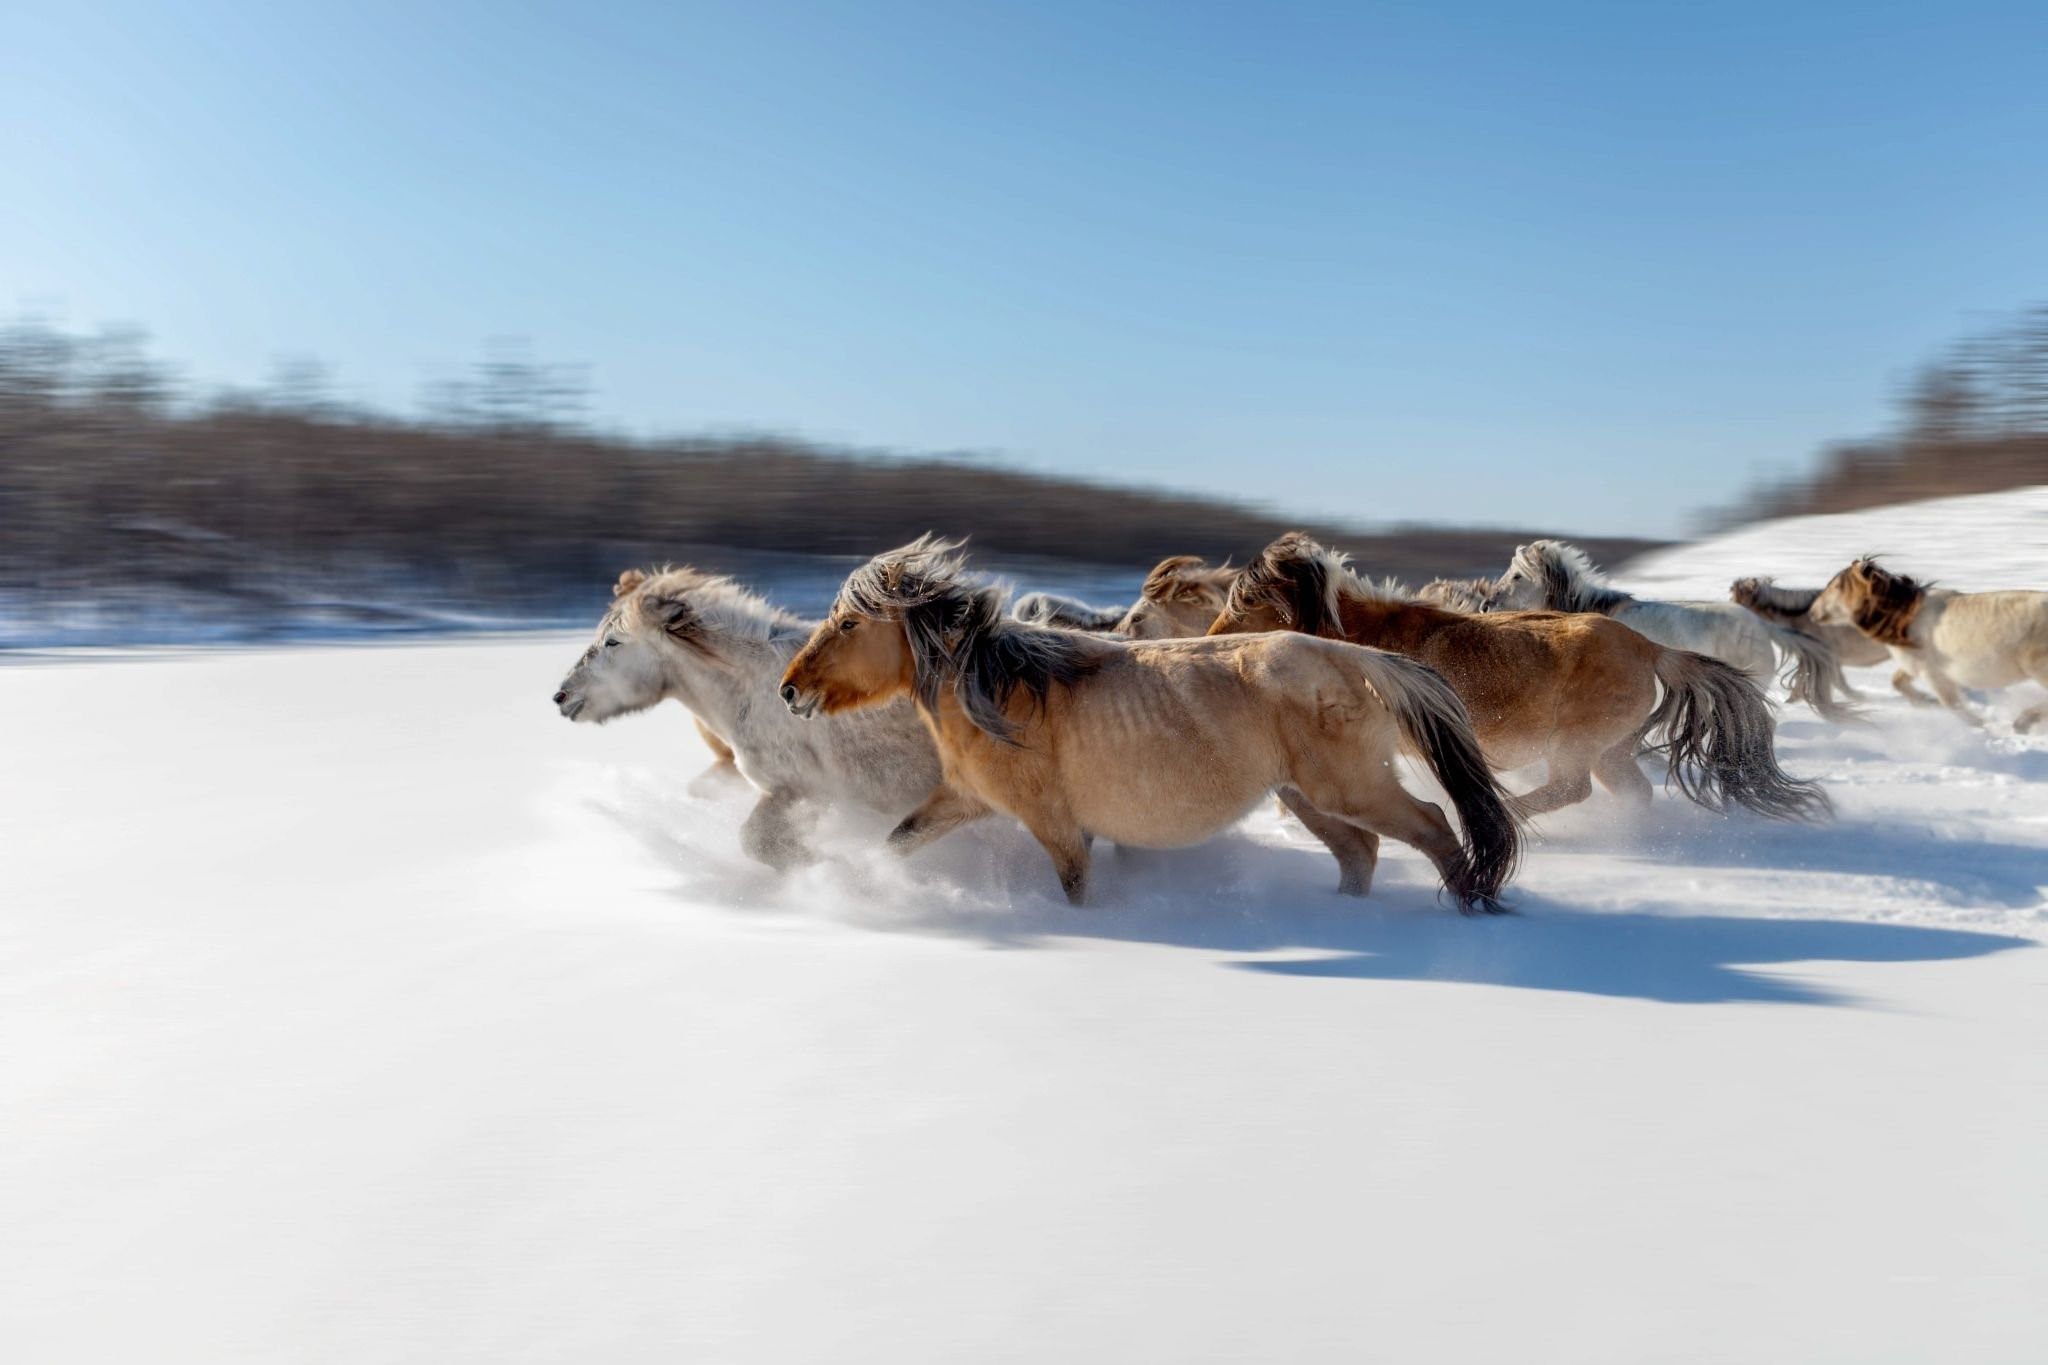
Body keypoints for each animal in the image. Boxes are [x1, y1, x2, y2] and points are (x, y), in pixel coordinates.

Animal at [557, 564, 946, 863]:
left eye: (614, 641)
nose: (562, 697)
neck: (752, 688)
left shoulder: (804, 790)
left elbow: (755, 841)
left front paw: (822, 864)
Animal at [778, 540, 1523, 912]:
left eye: (849, 623)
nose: (790, 690)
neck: (1002, 691)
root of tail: (1354, 654)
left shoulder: (1054, 822)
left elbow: (1077, 889)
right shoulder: (961, 801)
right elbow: (898, 841)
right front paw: (860, 881)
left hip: (1350, 787)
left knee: (1433, 825)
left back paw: (1474, 907)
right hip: (1305, 797)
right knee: (1360, 854)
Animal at [1810, 556, 2048, 732]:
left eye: (1835, 586)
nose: (1811, 612)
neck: (1903, 616)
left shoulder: (1934, 673)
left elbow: (1952, 704)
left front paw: (1979, 724)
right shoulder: (1914, 665)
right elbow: (1898, 681)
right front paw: (1924, 702)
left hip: (2039, 668)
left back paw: (2023, 722)